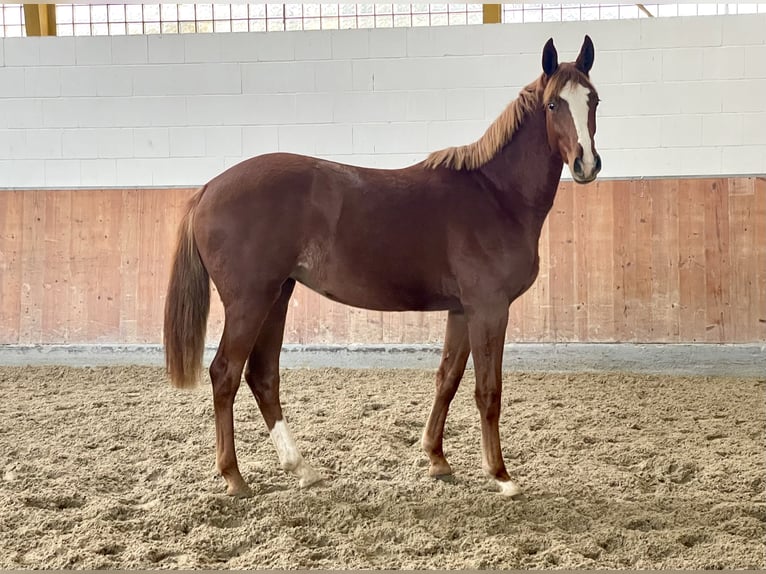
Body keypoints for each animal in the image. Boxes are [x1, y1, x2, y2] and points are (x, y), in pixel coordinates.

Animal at [165, 36, 604, 500]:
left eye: (593, 100)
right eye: (553, 104)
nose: (586, 164)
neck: (495, 194)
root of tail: (208, 189)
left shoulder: (462, 310)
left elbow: (447, 378)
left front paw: (437, 458)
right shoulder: (489, 309)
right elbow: (489, 390)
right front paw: (501, 476)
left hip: (277, 296)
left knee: (262, 375)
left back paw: (301, 468)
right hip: (250, 302)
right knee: (225, 374)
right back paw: (234, 476)